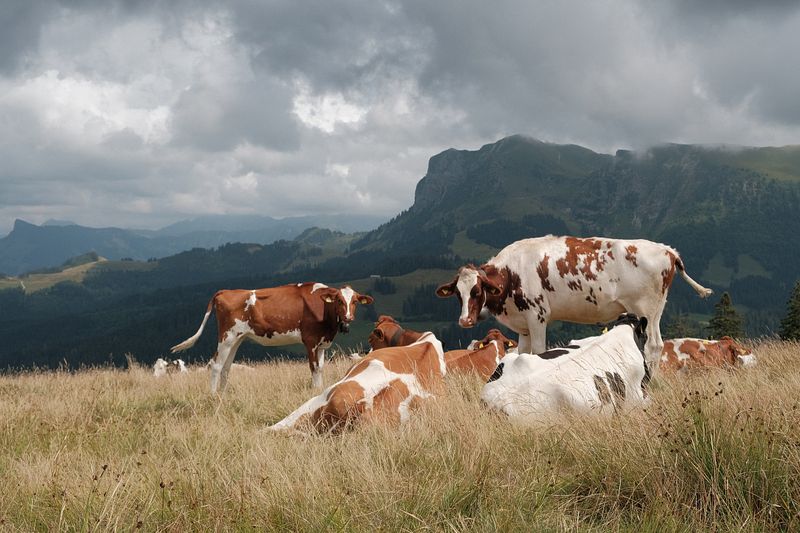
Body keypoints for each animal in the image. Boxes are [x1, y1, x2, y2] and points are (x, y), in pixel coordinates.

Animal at [170, 283, 374, 393]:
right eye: (339, 300)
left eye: (355, 301)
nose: (348, 317)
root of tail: (225, 291)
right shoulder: (310, 341)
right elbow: (314, 368)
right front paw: (315, 391)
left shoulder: (322, 343)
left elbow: (321, 368)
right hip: (227, 336)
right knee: (216, 365)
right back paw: (213, 395)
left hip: (237, 339)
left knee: (226, 367)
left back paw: (223, 394)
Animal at [436, 235, 712, 374]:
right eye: (458, 293)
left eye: (477, 290)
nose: (465, 321)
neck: (510, 273)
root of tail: (668, 250)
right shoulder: (523, 324)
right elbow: (522, 353)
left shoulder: (537, 316)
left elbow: (538, 351)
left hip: (647, 309)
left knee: (654, 346)